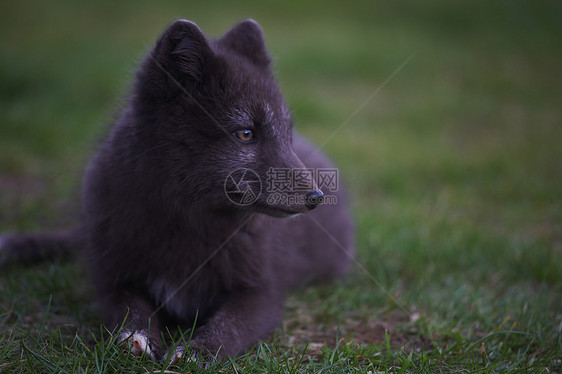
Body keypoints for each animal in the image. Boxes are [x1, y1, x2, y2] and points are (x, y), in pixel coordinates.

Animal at [0, 19, 352, 360]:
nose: (316, 198)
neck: (187, 221)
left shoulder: (262, 293)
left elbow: (230, 326)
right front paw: (136, 336)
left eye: (285, 133)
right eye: (246, 134)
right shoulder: (113, 277)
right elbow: (127, 309)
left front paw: (198, 350)